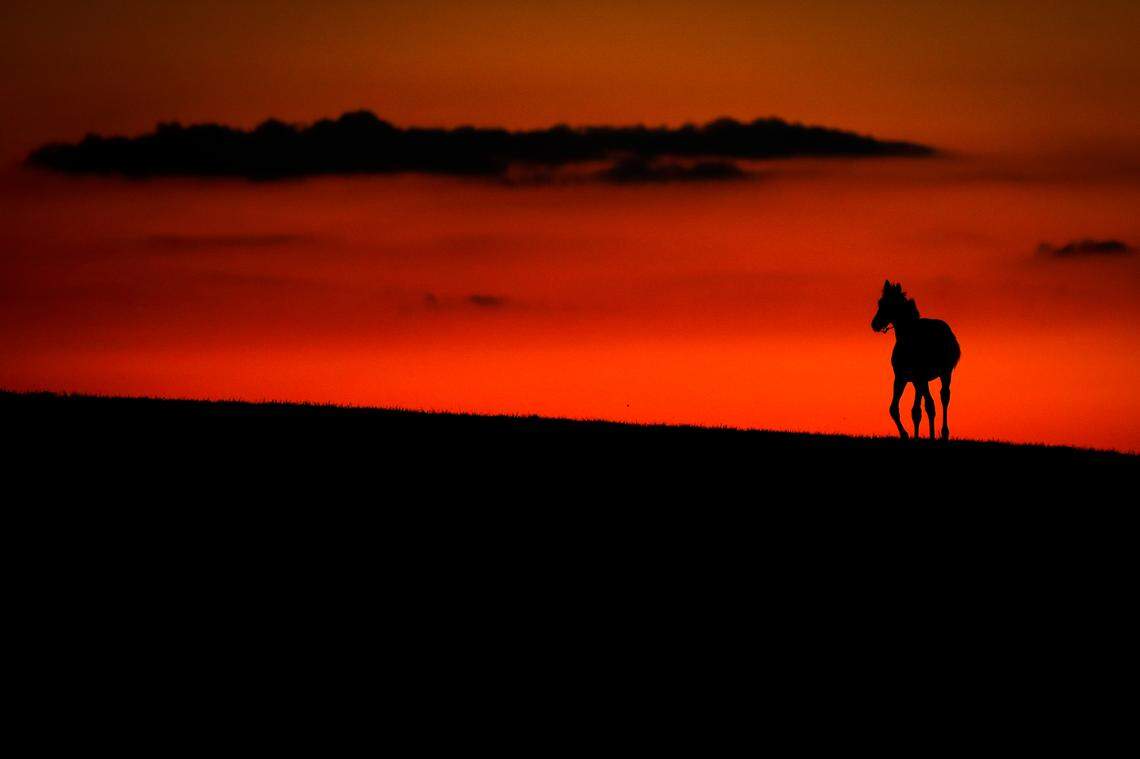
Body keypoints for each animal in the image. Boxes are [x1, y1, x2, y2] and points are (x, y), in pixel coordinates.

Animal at [871, 280, 961, 440]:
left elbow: (927, 406)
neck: (908, 338)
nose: (874, 324)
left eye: (886, 304)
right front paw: (911, 436)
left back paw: (943, 433)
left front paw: (910, 434)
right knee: (929, 404)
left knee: (942, 399)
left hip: (944, 374)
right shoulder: (904, 378)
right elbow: (900, 409)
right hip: (926, 379)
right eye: (880, 302)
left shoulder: (916, 378)